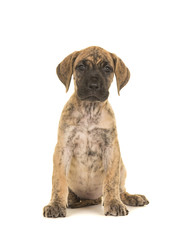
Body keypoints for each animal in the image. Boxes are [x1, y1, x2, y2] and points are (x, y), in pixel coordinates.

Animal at [43, 45, 148, 218]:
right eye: (81, 67)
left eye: (107, 69)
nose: (93, 85)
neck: (89, 110)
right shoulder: (63, 148)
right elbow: (58, 180)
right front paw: (56, 205)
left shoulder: (111, 149)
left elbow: (111, 181)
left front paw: (114, 203)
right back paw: (70, 200)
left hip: (122, 168)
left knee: (120, 190)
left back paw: (131, 197)